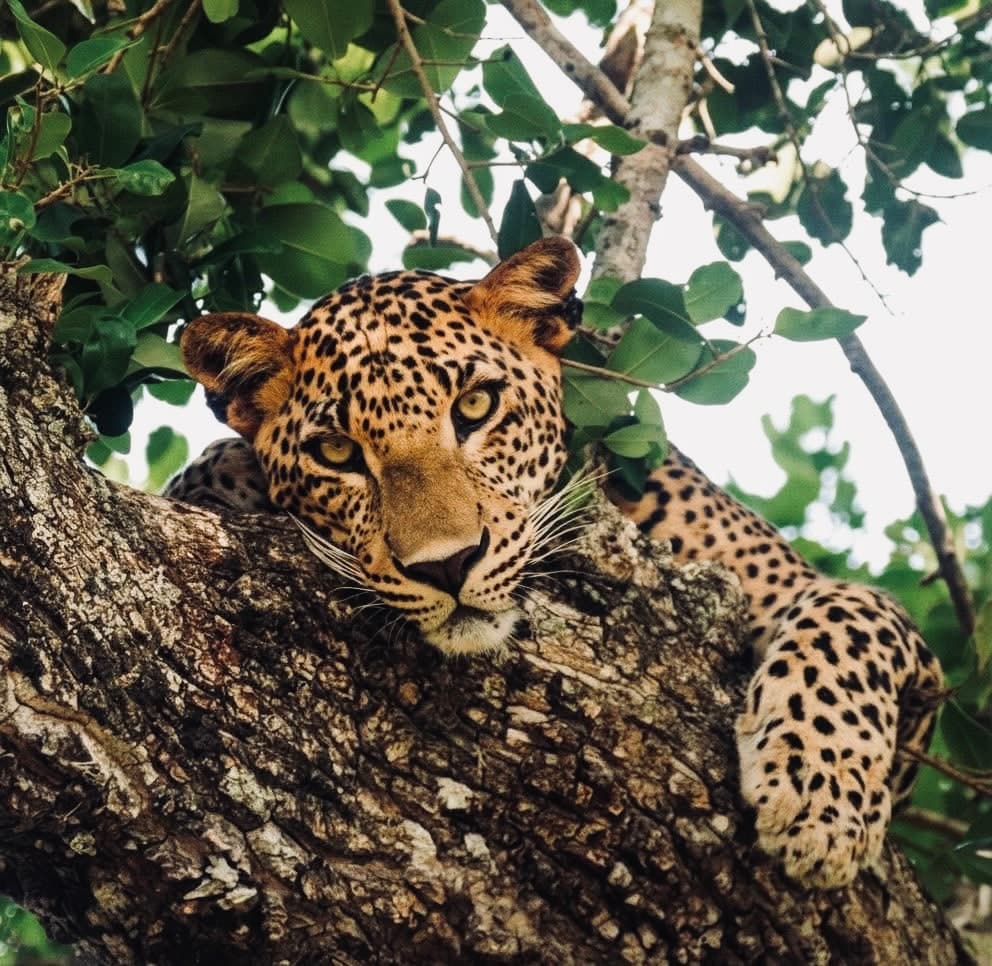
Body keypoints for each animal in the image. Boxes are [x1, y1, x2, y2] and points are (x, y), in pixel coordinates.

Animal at [166, 236, 944, 890]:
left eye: (477, 406)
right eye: (336, 452)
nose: (447, 566)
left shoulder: (801, 594)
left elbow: (850, 617)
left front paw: (821, 803)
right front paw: (210, 478)